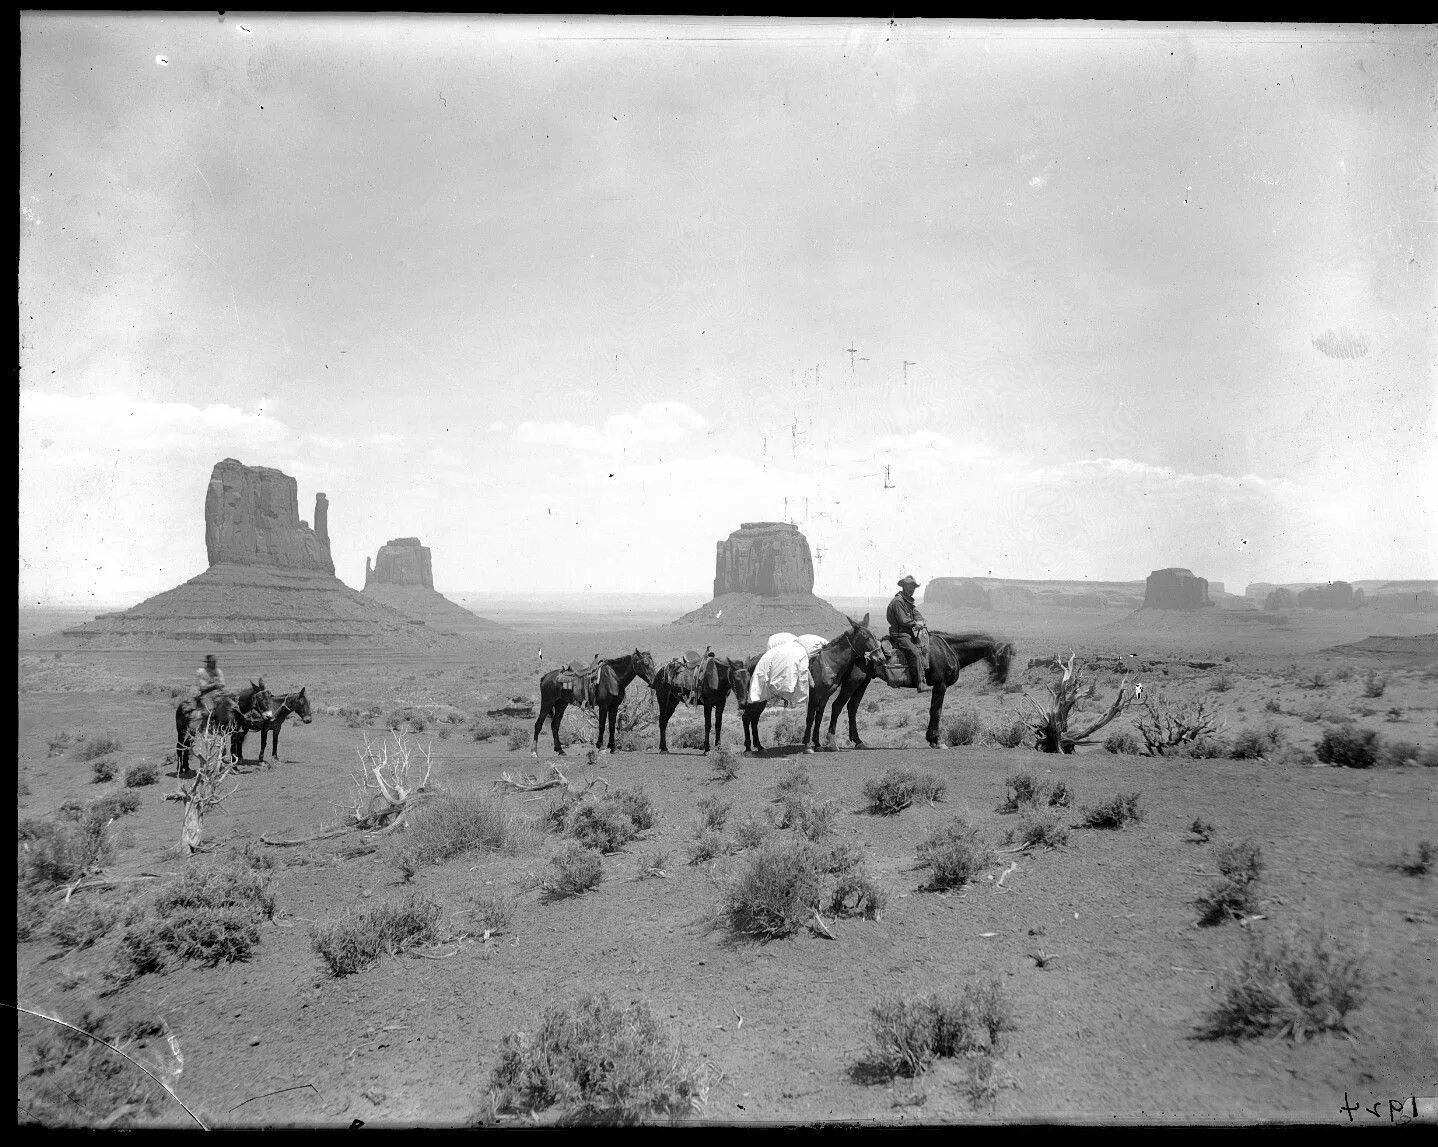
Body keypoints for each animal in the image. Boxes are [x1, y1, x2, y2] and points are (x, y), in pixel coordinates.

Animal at [828, 632, 1018, 747]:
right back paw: (831, 742)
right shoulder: (940, 685)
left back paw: (858, 741)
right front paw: (936, 740)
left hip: (863, 681)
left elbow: (934, 710)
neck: (949, 649)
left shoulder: (938, 686)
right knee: (837, 706)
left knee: (852, 707)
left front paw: (932, 739)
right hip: (854, 680)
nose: (1001, 679)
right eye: (1002, 656)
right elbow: (936, 711)